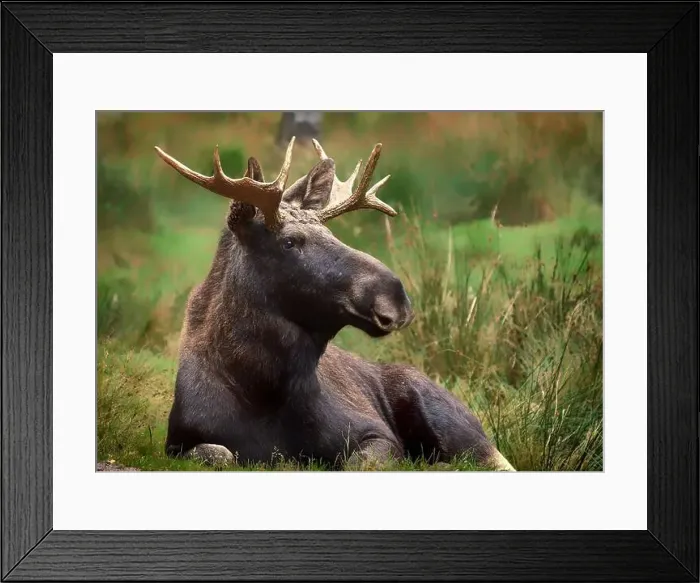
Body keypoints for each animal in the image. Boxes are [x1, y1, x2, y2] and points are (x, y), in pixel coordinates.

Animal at [154, 136, 516, 471]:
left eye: (332, 235)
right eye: (289, 242)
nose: (395, 297)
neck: (262, 391)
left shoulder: (376, 433)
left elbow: (358, 462)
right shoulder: (179, 442)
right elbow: (220, 453)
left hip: (451, 421)